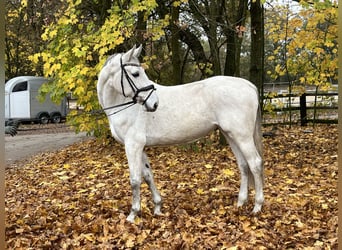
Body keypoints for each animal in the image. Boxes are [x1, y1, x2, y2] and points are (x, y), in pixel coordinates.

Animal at [97, 45, 264, 223]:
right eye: (135, 74)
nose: (154, 103)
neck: (124, 105)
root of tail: (249, 86)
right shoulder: (139, 147)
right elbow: (148, 175)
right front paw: (157, 207)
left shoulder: (133, 145)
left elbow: (135, 179)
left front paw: (132, 214)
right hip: (230, 135)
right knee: (244, 165)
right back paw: (240, 202)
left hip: (242, 137)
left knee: (255, 164)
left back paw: (257, 206)